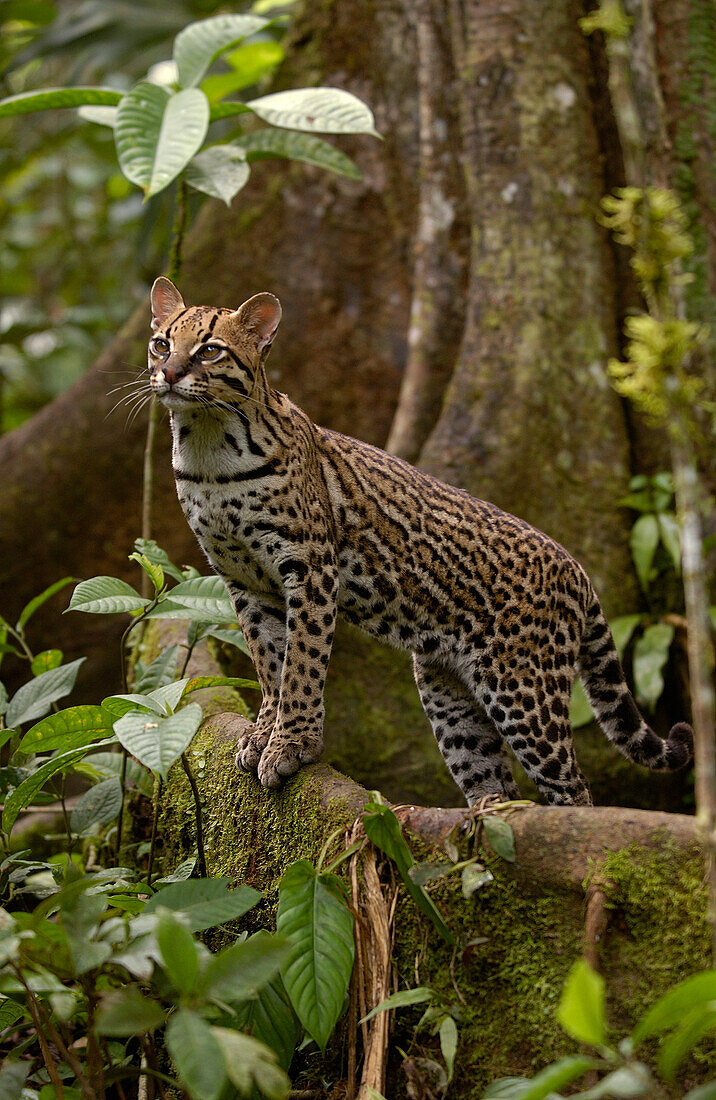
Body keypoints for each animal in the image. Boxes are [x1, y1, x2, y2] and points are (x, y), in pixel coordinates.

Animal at [148, 277, 690, 809]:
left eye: (210, 350)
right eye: (161, 344)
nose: (169, 373)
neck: (209, 447)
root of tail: (576, 568)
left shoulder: (309, 567)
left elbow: (301, 663)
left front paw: (291, 745)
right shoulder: (244, 581)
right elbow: (268, 663)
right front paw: (264, 733)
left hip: (525, 693)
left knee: (573, 791)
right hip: (450, 697)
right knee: (496, 787)